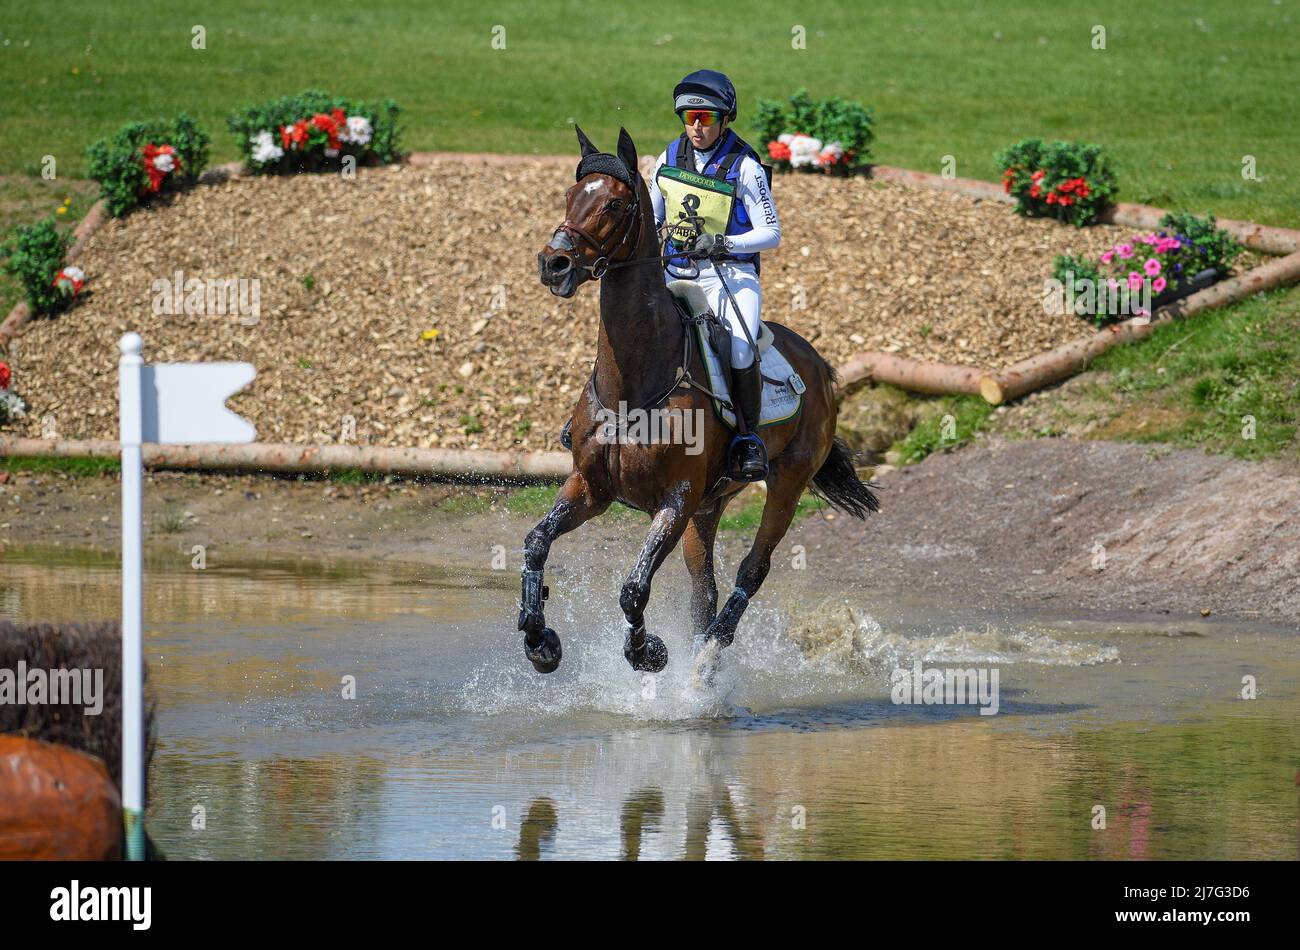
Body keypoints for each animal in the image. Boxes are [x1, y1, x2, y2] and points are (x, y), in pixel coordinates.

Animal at [522, 125, 877, 678]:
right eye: (569, 195)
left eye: (616, 205)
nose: (553, 264)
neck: (633, 382)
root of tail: (820, 366)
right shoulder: (591, 486)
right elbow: (537, 543)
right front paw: (540, 641)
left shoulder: (677, 497)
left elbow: (633, 589)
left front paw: (648, 652)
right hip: (710, 505)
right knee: (703, 589)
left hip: (785, 483)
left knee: (752, 570)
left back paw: (707, 658)